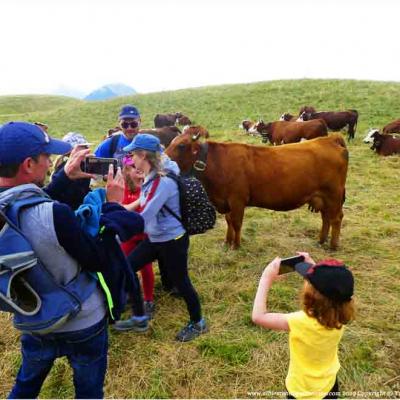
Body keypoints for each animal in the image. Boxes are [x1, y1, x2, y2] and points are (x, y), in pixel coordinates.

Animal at [166, 133, 346, 248]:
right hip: (323, 197)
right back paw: (321, 241)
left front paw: (236, 245)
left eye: (181, 145)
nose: (163, 158)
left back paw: (333, 245)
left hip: (333, 196)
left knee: (336, 218)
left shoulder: (237, 200)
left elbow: (236, 222)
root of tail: (330, 138)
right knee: (326, 218)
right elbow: (229, 221)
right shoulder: (225, 201)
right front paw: (227, 242)